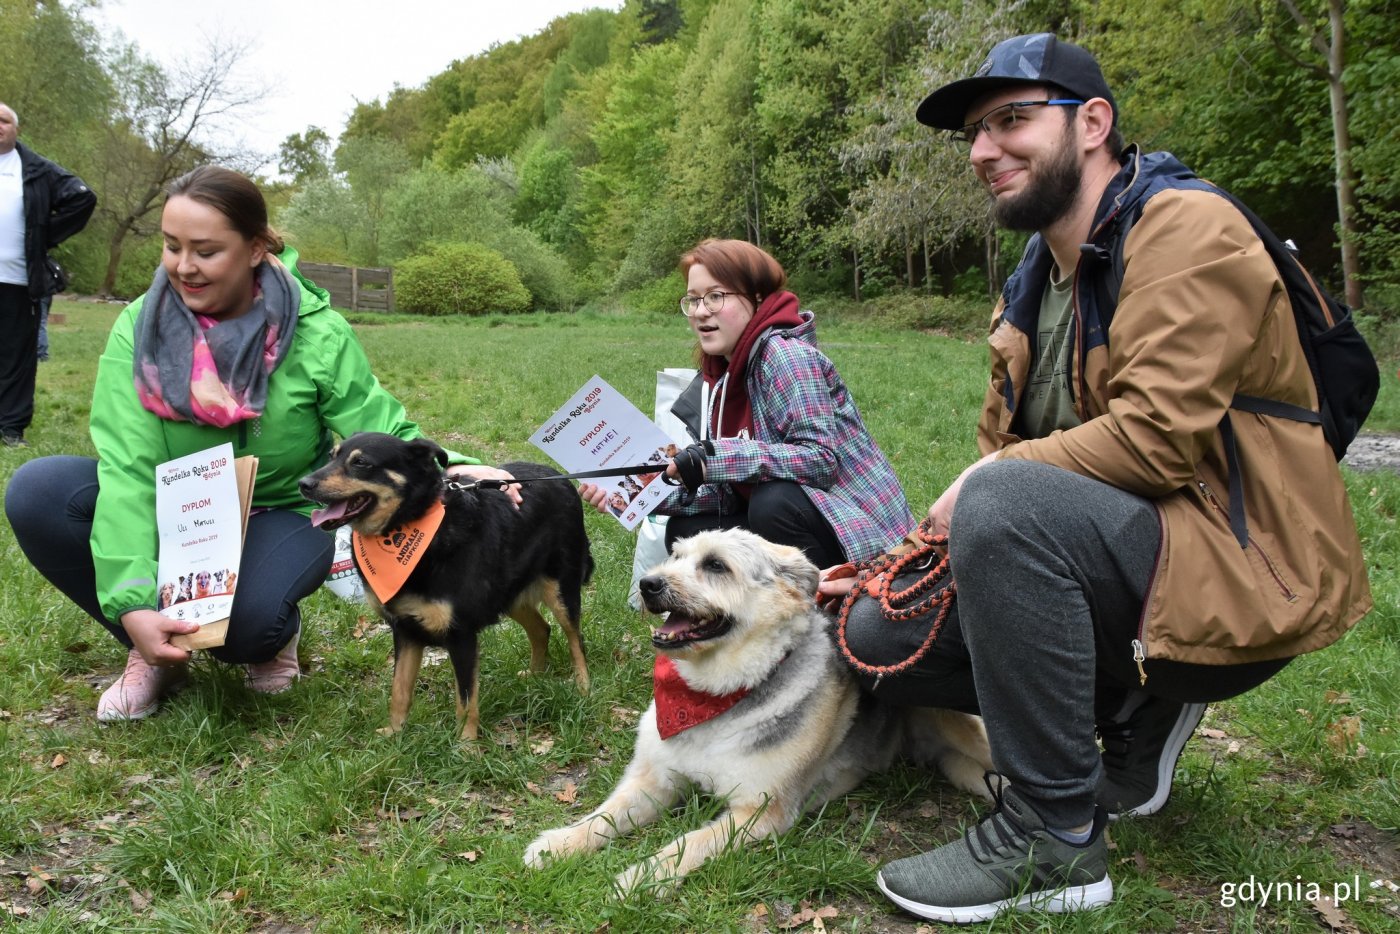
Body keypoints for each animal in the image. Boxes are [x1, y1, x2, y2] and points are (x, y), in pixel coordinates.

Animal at [301, 434, 590, 744]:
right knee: (541, 629)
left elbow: (466, 701)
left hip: (560, 589)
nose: (304, 484)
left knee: (575, 639)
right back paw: (536, 675)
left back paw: (583, 686)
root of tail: (558, 477)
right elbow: (399, 691)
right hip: (508, 594)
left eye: (361, 462)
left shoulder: (461, 635)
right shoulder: (405, 631)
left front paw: (465, 745)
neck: (410, 526)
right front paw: (394, 733)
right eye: (331, 456)